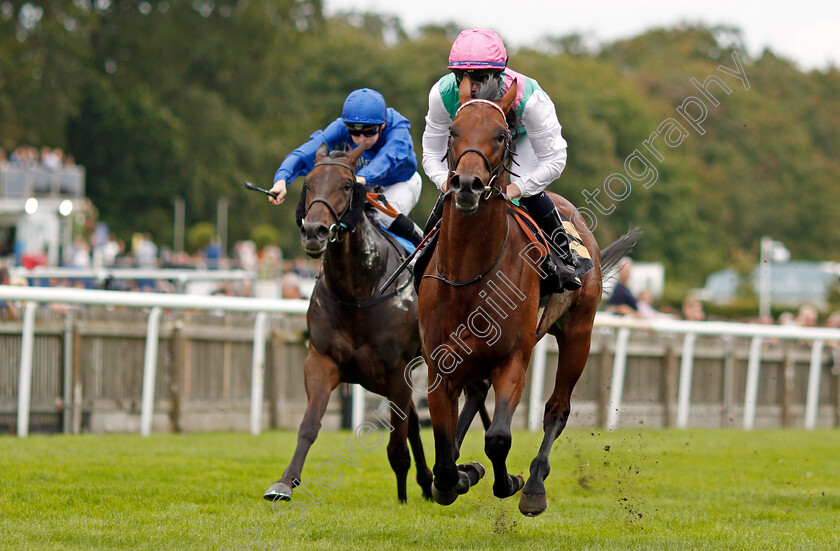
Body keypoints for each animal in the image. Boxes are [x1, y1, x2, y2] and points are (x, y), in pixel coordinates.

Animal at [262, 143, 434, 504]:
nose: (313, 232)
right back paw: (426, 481)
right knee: (413, 420)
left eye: (345, 185)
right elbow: (309, 424)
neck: (359, 291)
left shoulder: (397, 370)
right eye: (308, 184)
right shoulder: (322, 360)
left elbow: (397, 444)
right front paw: (284, 482)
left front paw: (402, 498)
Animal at [420, 75, 636, 516]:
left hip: (578, 334)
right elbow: (444, 457)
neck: (469, 274)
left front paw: (511, 482)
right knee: (475, 397)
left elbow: (499, 438)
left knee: (557, 410)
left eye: (501, 135)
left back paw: (535, 483)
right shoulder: (439, 366)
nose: (466, 185)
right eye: (452, 131)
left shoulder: (513, 358)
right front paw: (458, 475)